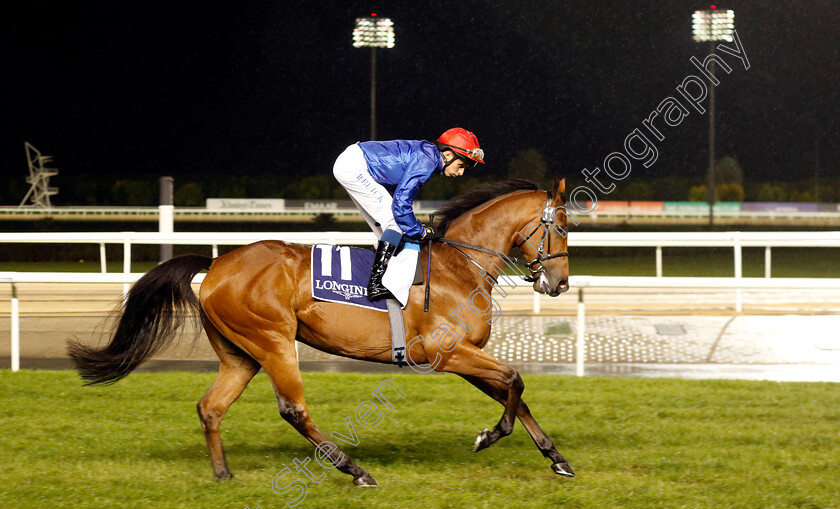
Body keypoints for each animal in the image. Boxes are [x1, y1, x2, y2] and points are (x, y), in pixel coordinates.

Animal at [69, 178, 576, 484]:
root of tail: (216, 263)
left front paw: (556, 458)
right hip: (272, 341)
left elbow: (514, 393)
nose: (560, 283)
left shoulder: (465, 354)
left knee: (211, 407)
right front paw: (489, 436)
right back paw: (354, 469)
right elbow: (514, 381)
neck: (459, 266)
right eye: (564, 227)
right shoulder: (444, 353)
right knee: (293, 409)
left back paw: (224, 474)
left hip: (241, 353)